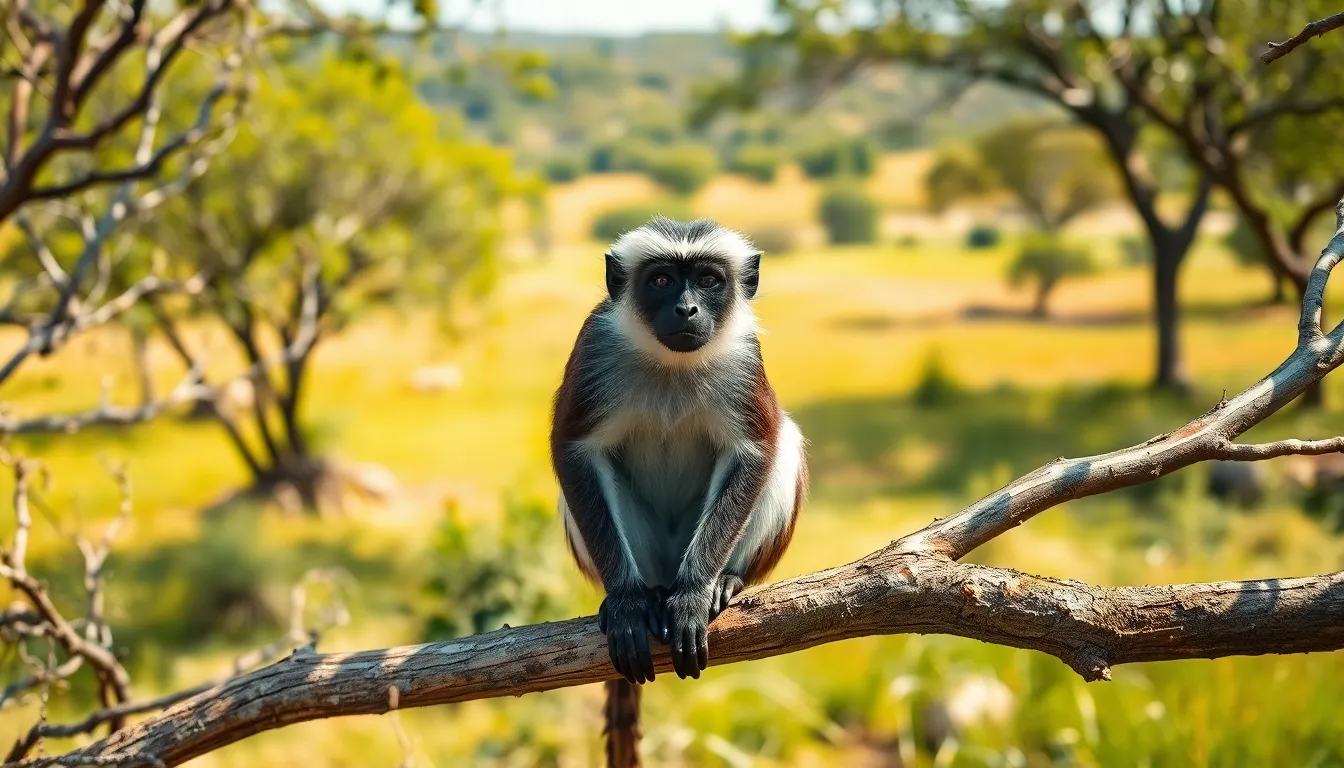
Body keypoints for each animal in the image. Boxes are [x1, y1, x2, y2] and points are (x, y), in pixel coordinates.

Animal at [550, 217, 808, 763]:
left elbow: (756, 451)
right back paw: (644, 594)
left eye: (709, 280)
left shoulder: (744, 358)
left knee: (786, 442)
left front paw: (694, 595)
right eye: (663, 280)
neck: (672, 365)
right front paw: (627, 603)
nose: (686, 309)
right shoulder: (595, 346)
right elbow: (574, 450)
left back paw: (725, 581)